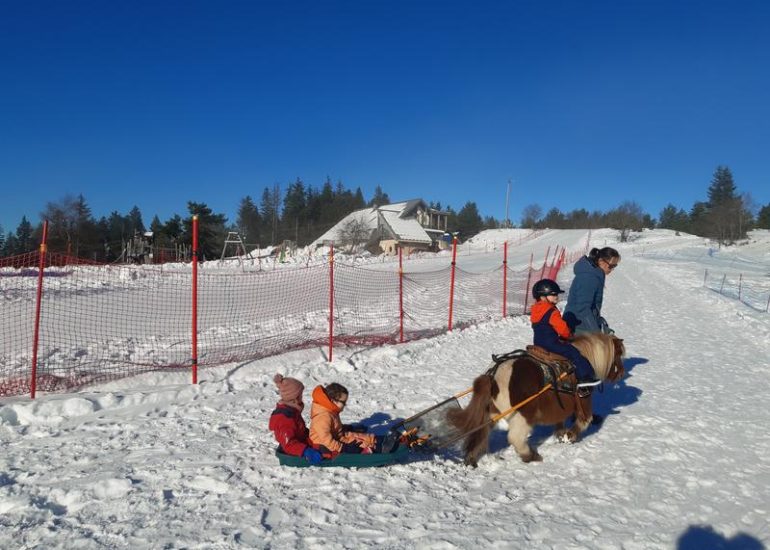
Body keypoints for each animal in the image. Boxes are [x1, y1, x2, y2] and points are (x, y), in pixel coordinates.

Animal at [448, 334, 620, 468]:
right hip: (522, 415)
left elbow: (560, 422)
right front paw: (569, 436)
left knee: (480, 435)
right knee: (515, 437)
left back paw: (471, 459)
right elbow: (584, 421)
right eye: (619, 355)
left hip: (491, 415)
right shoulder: (584, 401)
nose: (620, 374)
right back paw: (530, 456)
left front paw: (561, 435)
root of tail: (493, 376)